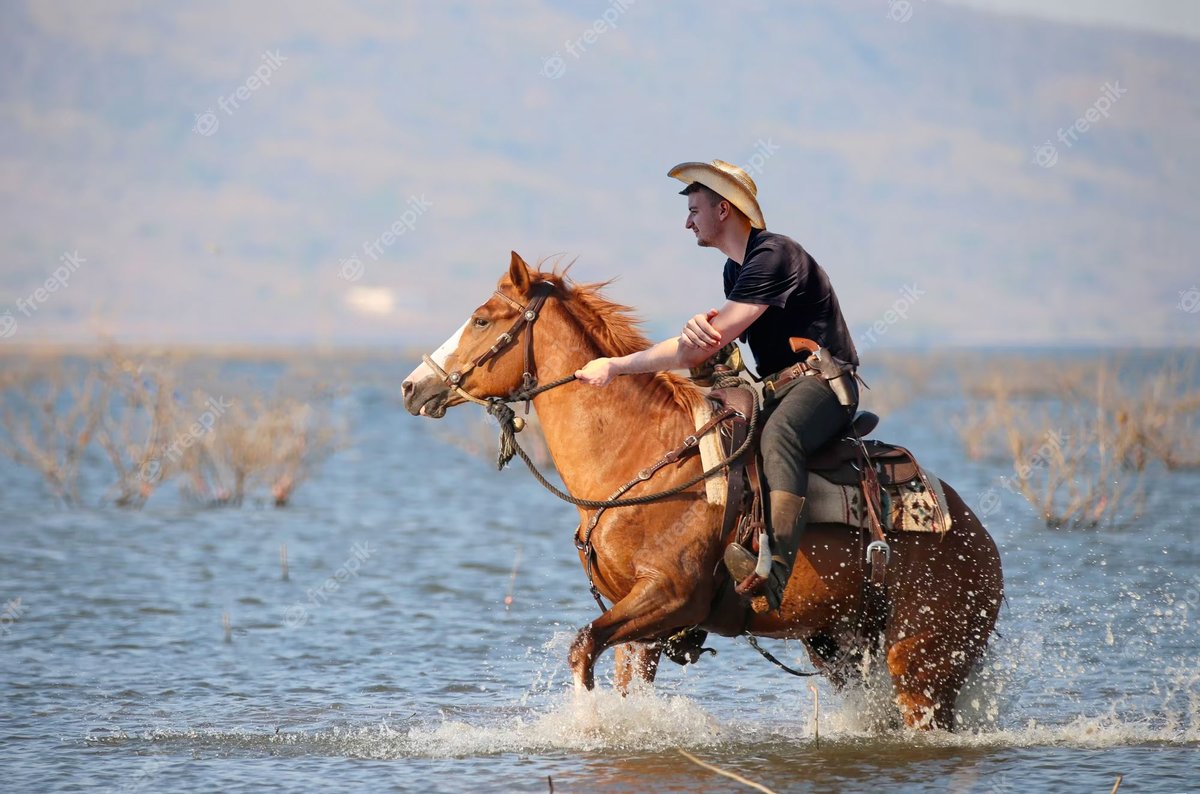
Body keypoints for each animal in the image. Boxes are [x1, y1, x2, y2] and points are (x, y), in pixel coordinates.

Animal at [402, 252, 1004, 730]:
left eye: (482, 319)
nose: (412, 385)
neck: (641, 456)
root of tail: (981, 540)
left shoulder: (670, 595)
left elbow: (581, 648)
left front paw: (584, 722)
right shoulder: (641, 619)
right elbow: (615, 670)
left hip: (920, 662)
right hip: (842, 647)